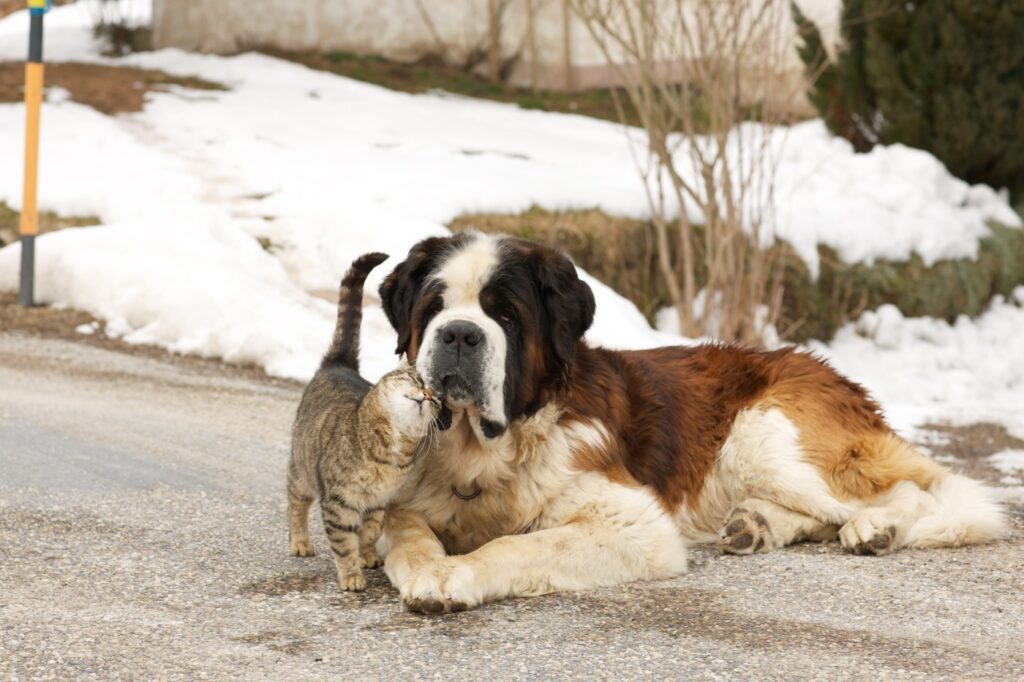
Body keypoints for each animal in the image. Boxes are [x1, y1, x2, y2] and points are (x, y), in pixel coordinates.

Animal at [290, 250, 446, 589]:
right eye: (417, 380)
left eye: (437, 399)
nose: (426, 395)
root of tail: (339, 363)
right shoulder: (339, 501)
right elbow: (343, 543)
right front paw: (351, 576)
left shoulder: (378, 501)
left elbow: (371, 530)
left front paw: (368, 554)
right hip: (301, 470)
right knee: (295, 505)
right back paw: (300, 542)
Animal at [374, 229, 999, 610]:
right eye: (434, 308)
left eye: (505, 314)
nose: (460, 335)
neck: (484, 452)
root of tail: (827, 370)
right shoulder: (406, 501)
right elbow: (405, 534)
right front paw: (428, 565)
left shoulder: (636, 526)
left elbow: (516, 546)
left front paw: (458, 573)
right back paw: (757, 525)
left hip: (764, 433)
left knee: (910, 492)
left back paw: (876, 527)